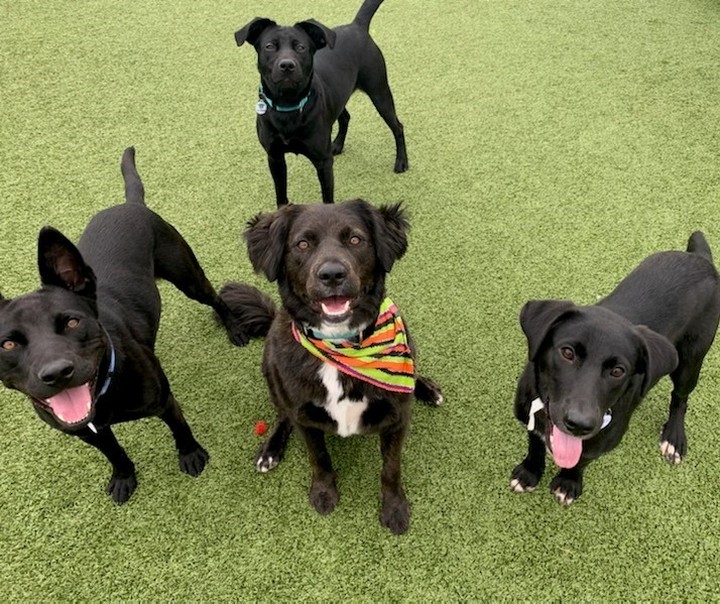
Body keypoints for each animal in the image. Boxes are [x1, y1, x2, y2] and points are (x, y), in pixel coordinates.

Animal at [0, 147, 264, 504]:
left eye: (72, 321)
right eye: (8, 344)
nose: (56, 373)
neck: (103, 390)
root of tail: (130, 204)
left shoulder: (164, 400)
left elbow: (180, 428)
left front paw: (191, 455)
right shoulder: (88, 432)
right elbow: (114, 452)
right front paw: (124, 477)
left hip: (188, 276)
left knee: (217, 299)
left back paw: (234, 328)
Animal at [222, 199, 442, 532]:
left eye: (355, 239)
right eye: (302, 244)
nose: (332, 274)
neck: (341, 346)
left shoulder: (397, 418)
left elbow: (391, 469)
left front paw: (394, 509)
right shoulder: (305, 419)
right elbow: (319, 458)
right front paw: (324, 494)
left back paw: (427, 389)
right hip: (270, 369)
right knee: (282, 414)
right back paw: (270, 450)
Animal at [235, 0, 408, 205]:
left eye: (301, 47)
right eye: (269, 46)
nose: (287, 65)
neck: (288, 105)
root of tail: (357, 26)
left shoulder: (323, 162)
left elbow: (327, 198)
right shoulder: (275, 157)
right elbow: (281, 195)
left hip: (379, 92)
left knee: (397, 126)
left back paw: (402, 161)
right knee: (345, 117)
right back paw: (338, 145)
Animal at [512, 232, 720, 504]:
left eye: (618, 371)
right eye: (567, 353)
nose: (580, 424)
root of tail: (701, 259)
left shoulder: (600, 442)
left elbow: (582, 460)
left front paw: (568, 482)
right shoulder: (528, 413)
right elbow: (534, 442)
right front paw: (529, 472)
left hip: (690, 361)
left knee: (680, 397)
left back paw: (674, 437)